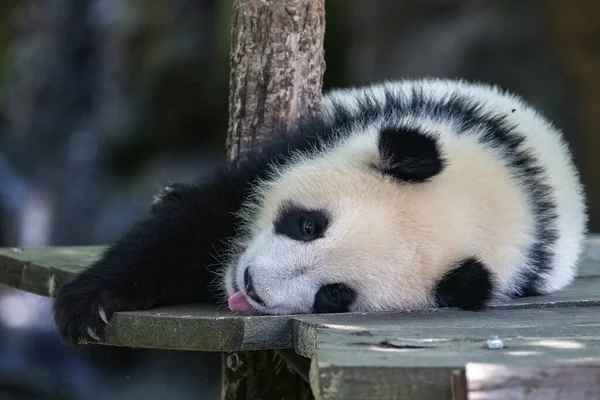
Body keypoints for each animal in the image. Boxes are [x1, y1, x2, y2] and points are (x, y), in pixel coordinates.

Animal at [52, 78, 584, 344]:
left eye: (334, 296)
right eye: (309, 224)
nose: (251, 286)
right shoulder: (327, 137)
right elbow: (194, 220)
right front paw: (88, 306)